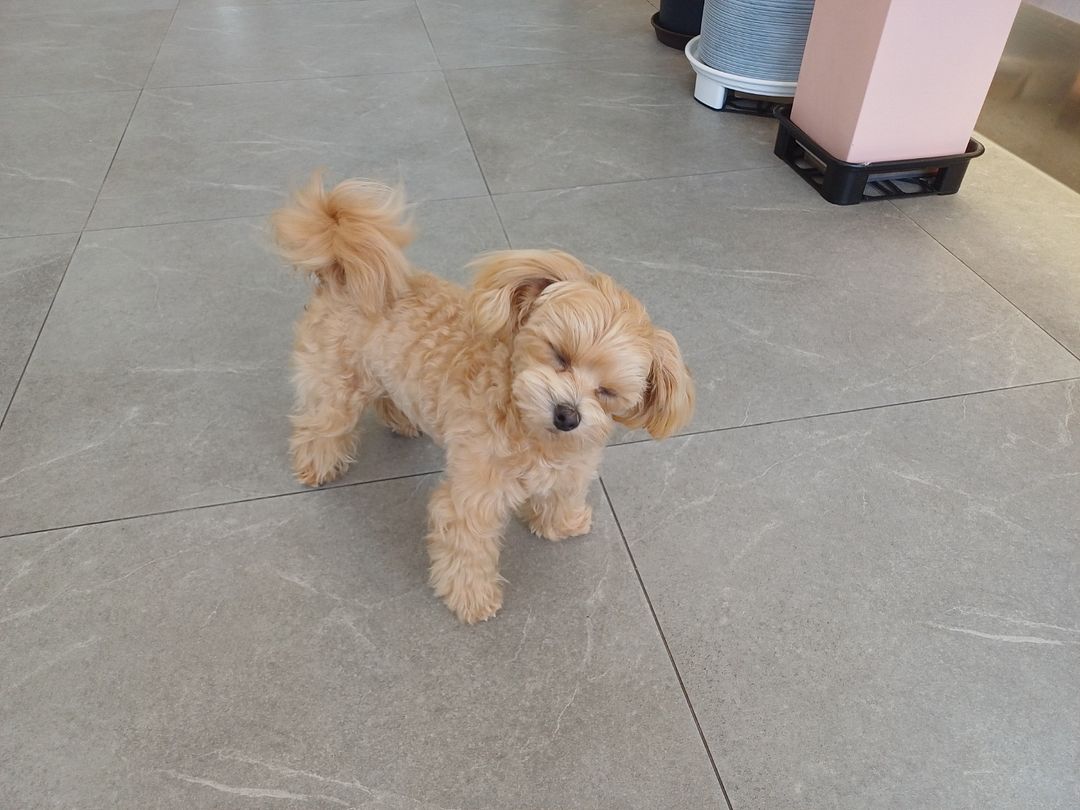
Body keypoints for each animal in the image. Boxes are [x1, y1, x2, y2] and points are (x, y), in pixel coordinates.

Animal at [270, 174, 691, 626]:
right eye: (559, 355)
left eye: (607, 391)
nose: (567, 415)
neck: (530, 427)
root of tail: (342, 270)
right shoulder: (473, 498)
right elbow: (466, 550)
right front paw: (472, 598)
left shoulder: (572, 468)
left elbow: (561, 495)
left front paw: (561, 523)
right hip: (335, 384)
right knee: (320, 425)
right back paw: (316, 465)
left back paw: (401, 420)